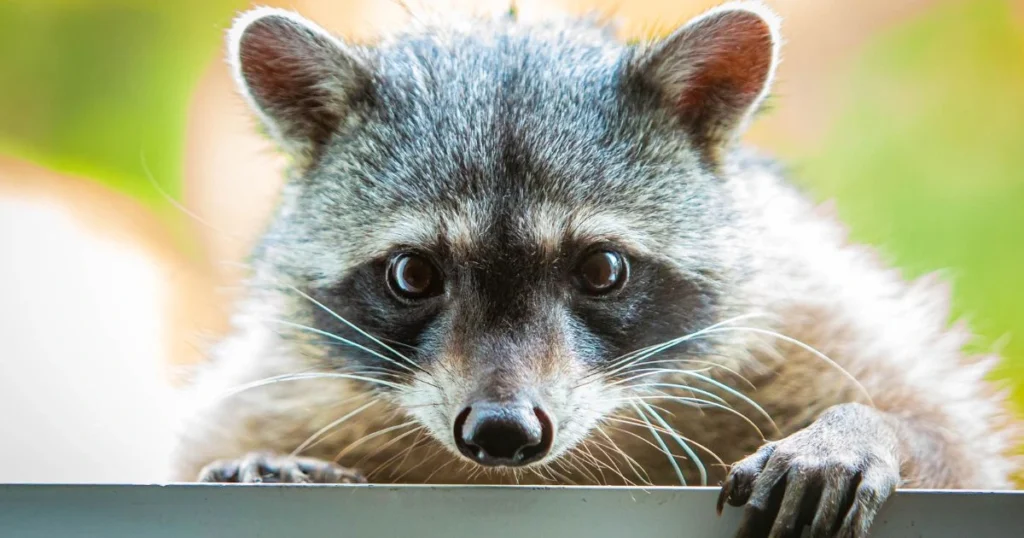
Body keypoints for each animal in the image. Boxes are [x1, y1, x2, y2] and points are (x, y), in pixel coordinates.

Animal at [172, 2, 1019, 532]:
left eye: (603, 269)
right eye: (412, 275)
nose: (503, 432)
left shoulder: (806, 308)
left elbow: (957, 445)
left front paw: (865, 427)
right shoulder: (283, 383)